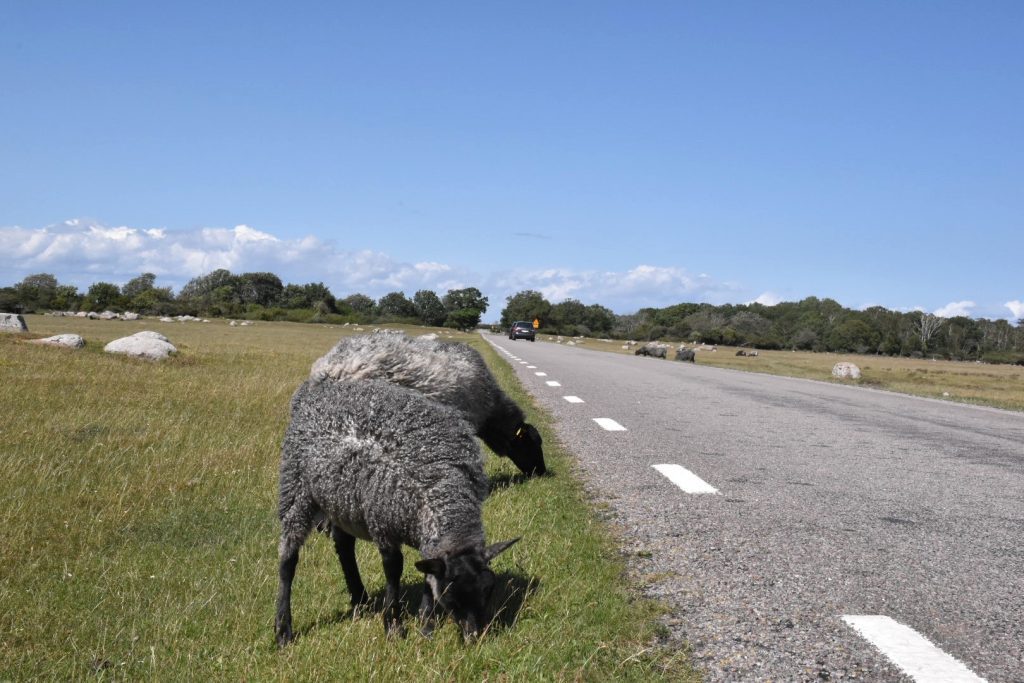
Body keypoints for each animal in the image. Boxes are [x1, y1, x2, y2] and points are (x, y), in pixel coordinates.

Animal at [276, 378, 520, 647]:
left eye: (489, 589)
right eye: (451, 596)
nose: (474, 636)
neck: (439, 488)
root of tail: (314, 389)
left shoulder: (427, 538)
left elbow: (427, 577)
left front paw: (426, 626)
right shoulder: (384, 524)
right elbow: (394, 571)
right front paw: (393, 626)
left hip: (341, 502)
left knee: (344, 547)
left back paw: (360, 600)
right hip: (296, 490)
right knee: (288, 559)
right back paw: (283, 628)